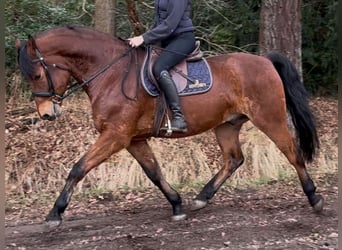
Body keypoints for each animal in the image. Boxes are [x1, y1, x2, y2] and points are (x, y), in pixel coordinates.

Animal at [16, 25, 324, 229]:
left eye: (37, 74)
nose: (46, 114)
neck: (111, 72)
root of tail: (265, 61)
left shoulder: (115, 135)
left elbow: (78, 168)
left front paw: (55, 214)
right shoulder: (133, 139)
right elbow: (154, 172)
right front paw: (176, 205)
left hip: (270, 118)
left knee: (292, 153)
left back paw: (314, 198)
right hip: (226, 125)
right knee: (234, 159)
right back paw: (201, 198)